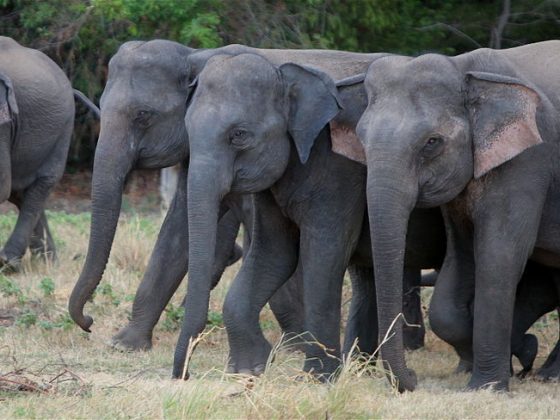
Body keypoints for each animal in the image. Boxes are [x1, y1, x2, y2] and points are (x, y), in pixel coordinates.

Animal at [332, 39, 560, 390]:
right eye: (361, 138)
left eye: (432, 142)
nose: (413, 377)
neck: (464, 69)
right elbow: (460, 258)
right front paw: (515, 353)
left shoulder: (528, 161)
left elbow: (499, 254)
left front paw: (487, 387)